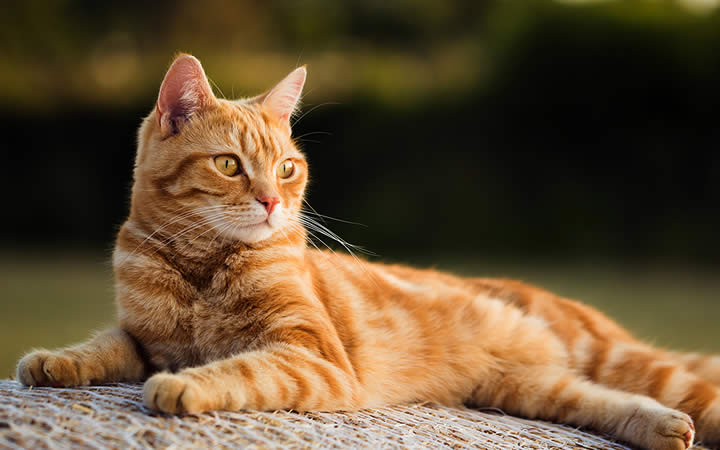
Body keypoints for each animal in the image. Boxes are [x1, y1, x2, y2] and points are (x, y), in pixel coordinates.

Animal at [14, 54, 716, 448]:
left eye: (288, 168)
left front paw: (183, 386)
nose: (272, 202)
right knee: (604, 402)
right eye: (229, 165)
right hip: (535, 387)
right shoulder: (141, 338)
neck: (199, 266)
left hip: (626, 361)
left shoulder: (313, 358)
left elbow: (240, 369)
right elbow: (102, 345)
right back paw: (662, 430)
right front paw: (53, 361)